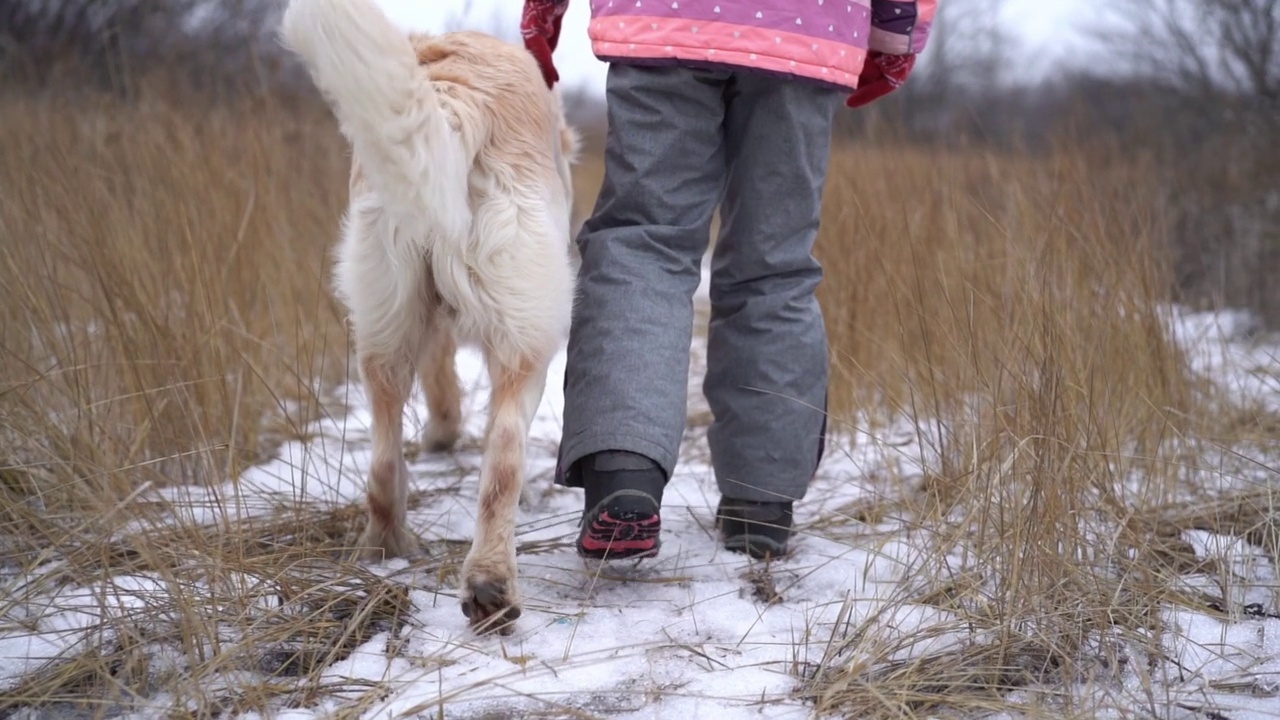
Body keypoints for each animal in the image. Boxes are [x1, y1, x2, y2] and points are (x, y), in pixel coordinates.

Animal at [282, 0, 583, 630]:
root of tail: (453, 96)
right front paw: (446, 435)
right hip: (529, 342)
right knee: (503, 460)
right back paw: (491, 585)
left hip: (381, 324)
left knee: (381, 462)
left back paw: (387, 550)